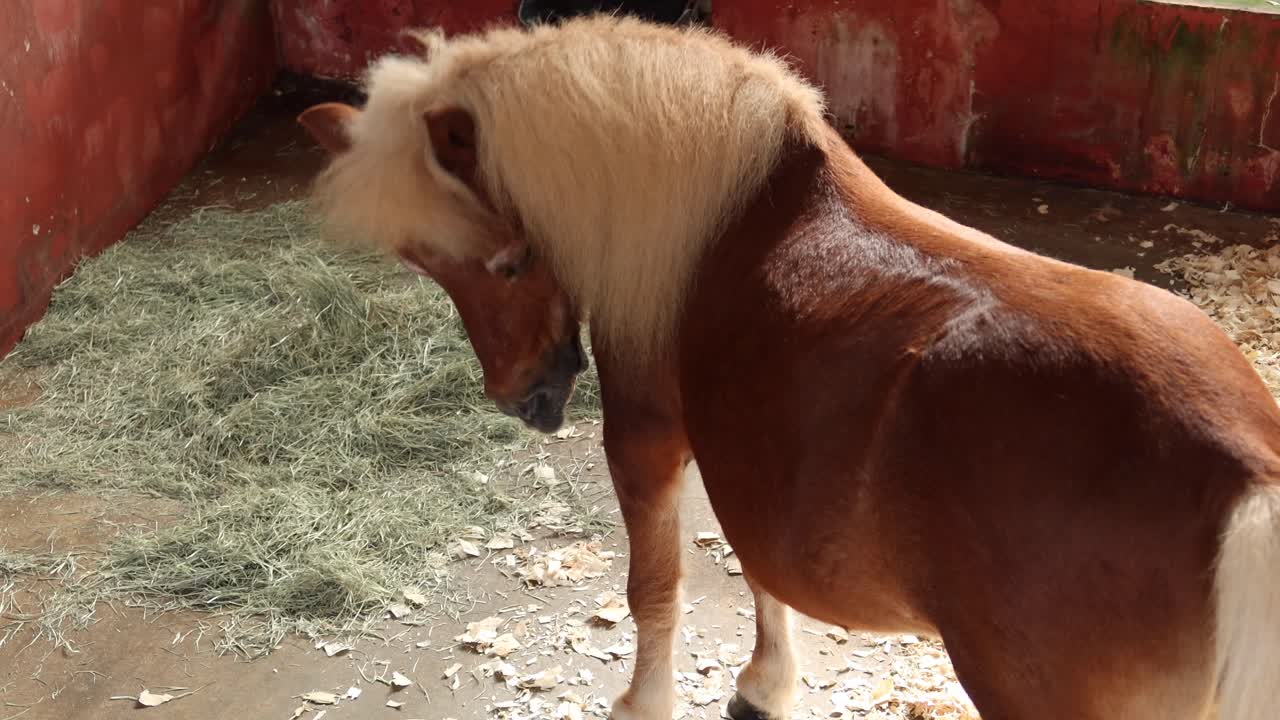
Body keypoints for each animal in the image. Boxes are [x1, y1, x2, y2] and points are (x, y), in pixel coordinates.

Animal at [297, 16, 1280, 720]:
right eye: (423, 264)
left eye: (508, 262)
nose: (522, 400)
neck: (721, 215)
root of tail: (1239, 470)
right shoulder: (749, 457)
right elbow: (760, 569)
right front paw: (765, 687)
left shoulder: (649, 442)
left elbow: (657, 588)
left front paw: (644, 704)